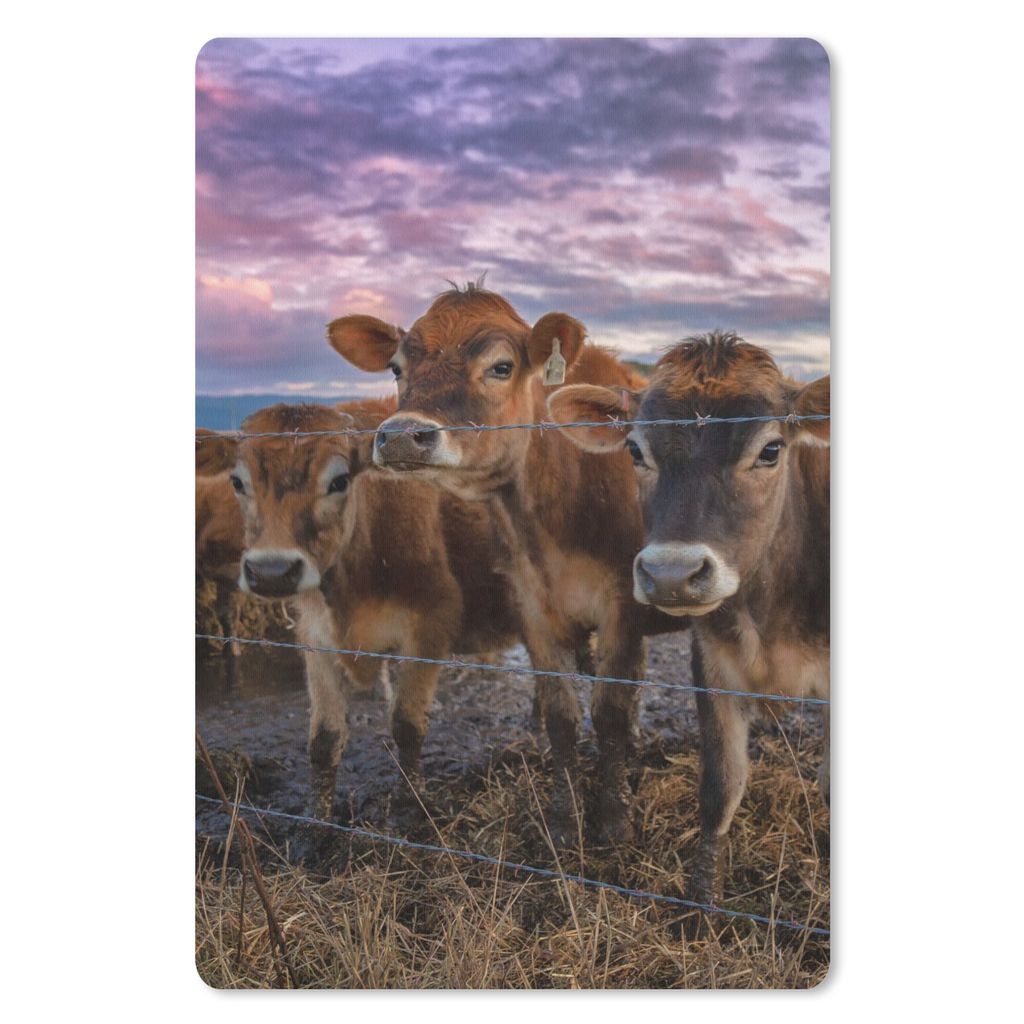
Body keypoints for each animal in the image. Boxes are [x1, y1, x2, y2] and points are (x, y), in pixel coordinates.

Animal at [197, 397, 521, 825]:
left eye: (339, 481)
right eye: (237, 482)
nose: (272, 571)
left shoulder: (432, 622)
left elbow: (407, 725)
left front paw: (412, 806)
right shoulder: (315, 635)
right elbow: (324, 739)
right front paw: (317, 824)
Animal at [327, 283, 679, 846]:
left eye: (500, 367)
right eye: (396, 367)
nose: (402, 436)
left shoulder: (623, 604)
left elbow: (608, 713)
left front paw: (613, 820)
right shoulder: (530, 605)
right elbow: (561, 716)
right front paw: (564, 820)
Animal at [547, 332, 829, 905]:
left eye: (771, 450)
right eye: (635, 450)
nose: (672, 574)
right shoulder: (714, 664)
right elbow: (720, 785)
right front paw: (702, 905)